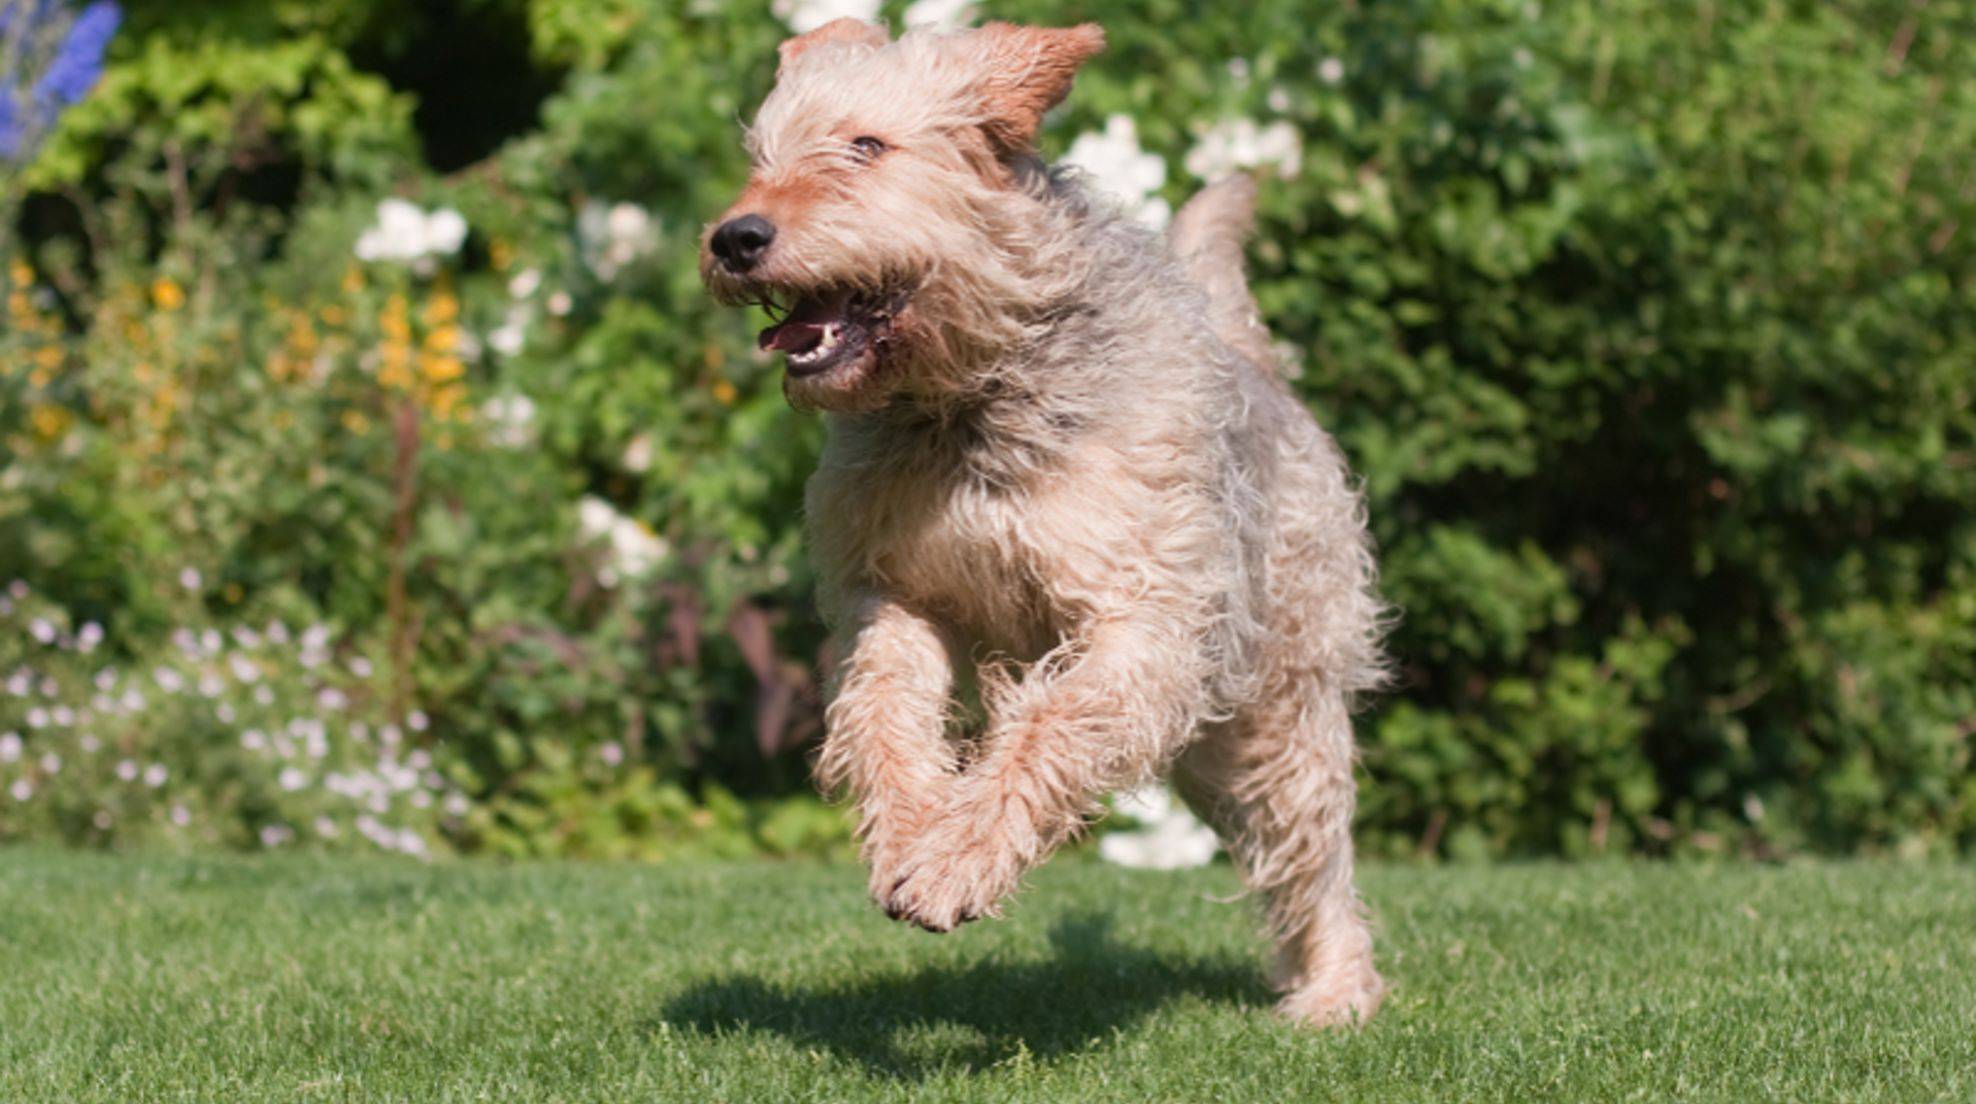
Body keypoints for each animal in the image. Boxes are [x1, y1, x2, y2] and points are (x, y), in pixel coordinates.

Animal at [703, 17, 1383, 1026]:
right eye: (761, 156)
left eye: (866, 146)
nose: (734, 237)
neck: (972, 404)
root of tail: (1252, 361)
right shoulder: (896, 597)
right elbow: (884, 713)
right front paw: (909, 833)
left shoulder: (1143, 619)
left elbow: (1047, 728)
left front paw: (954, 864)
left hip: (1278, 707)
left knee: (1313, 849)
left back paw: (1335, 990)